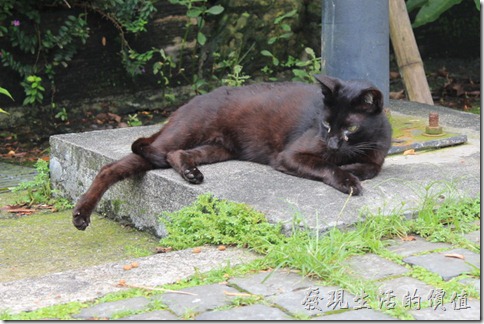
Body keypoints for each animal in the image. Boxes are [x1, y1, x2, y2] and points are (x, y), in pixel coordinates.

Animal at [73, 74, 394, 230]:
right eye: (326, 124)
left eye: (350, 128)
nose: (332, 143)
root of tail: (191, 100)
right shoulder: (290, 156)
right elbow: (328, 166)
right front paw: (348, 180)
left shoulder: (375, 157)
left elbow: (370, 167)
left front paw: (352, 170)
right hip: (185, 133)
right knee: (113, 166)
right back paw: (80, 215)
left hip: (218, 148)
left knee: (174, 155)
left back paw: (191, 174)